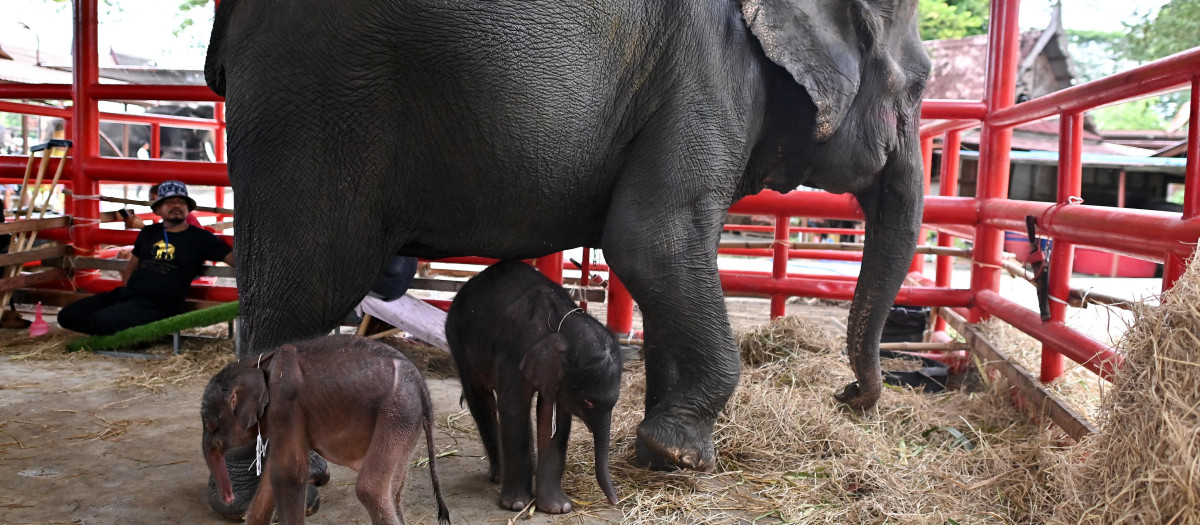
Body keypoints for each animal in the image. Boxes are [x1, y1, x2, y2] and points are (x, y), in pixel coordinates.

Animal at [200, 335, 451, 525]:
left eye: (210, 424)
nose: (229, 498)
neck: (257, 364)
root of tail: (422, 385)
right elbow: (271, 477)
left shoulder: (285, 404)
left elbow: (288, 474)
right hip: (407, 420)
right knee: (394, 492)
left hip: (396, 412)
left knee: (370, 490)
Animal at [208, 0, 926, 472]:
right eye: (918, 86)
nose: (848, 395)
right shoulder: (712, 79)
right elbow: (653, 241)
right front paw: (682, 455)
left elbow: (665, 260)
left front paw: (657, 451)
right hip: (314, 107)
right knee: (298, 293)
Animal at [446, 260, 624, 515]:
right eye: (588, 402)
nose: (615, 501)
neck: (562, 323)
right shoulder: (514, 353)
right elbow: (514, 408)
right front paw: (517, 504)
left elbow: (554, 419)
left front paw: (558, 508)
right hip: (457, 339)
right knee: (480, 399)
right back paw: (499, 476)